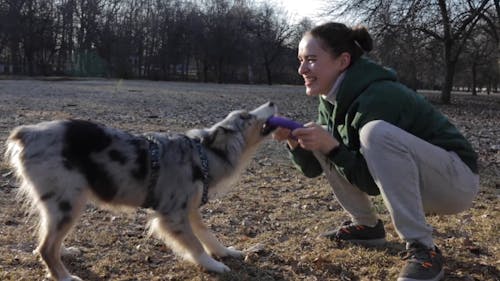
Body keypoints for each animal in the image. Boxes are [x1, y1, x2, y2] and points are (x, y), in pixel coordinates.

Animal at [4, 100, 278, 278]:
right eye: (247, 117)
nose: (272, 101)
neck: (203, 155)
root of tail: (26, 132)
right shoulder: (173, 215)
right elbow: (195, 244)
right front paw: (214, 265)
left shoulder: (190, 209)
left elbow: (208, 236)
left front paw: (226, 252)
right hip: (68, 202)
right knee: (46, 248)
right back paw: (66, 277)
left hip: (59, 205)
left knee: (47, 242)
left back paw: (66, 251)